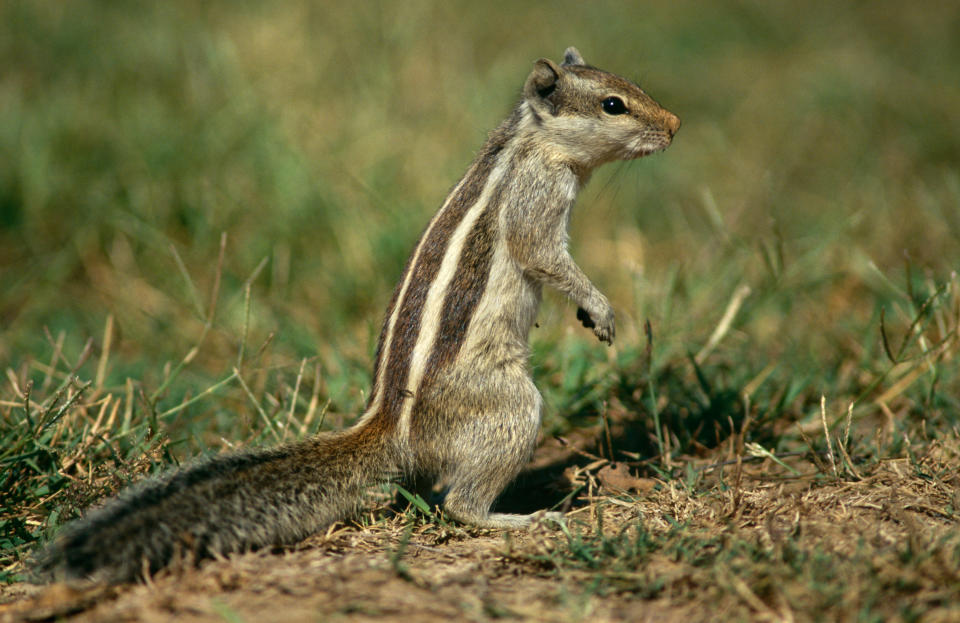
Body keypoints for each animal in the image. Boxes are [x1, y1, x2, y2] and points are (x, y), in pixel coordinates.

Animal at [35, 47, 684, 584]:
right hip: (511, 407)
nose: (675, 126)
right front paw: (600, 307)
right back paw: (519, 519)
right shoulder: (536, 199)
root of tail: (389, 425)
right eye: (613, 104)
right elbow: (543, 255)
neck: (530, 141)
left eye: (630, 84)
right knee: (458, 504)